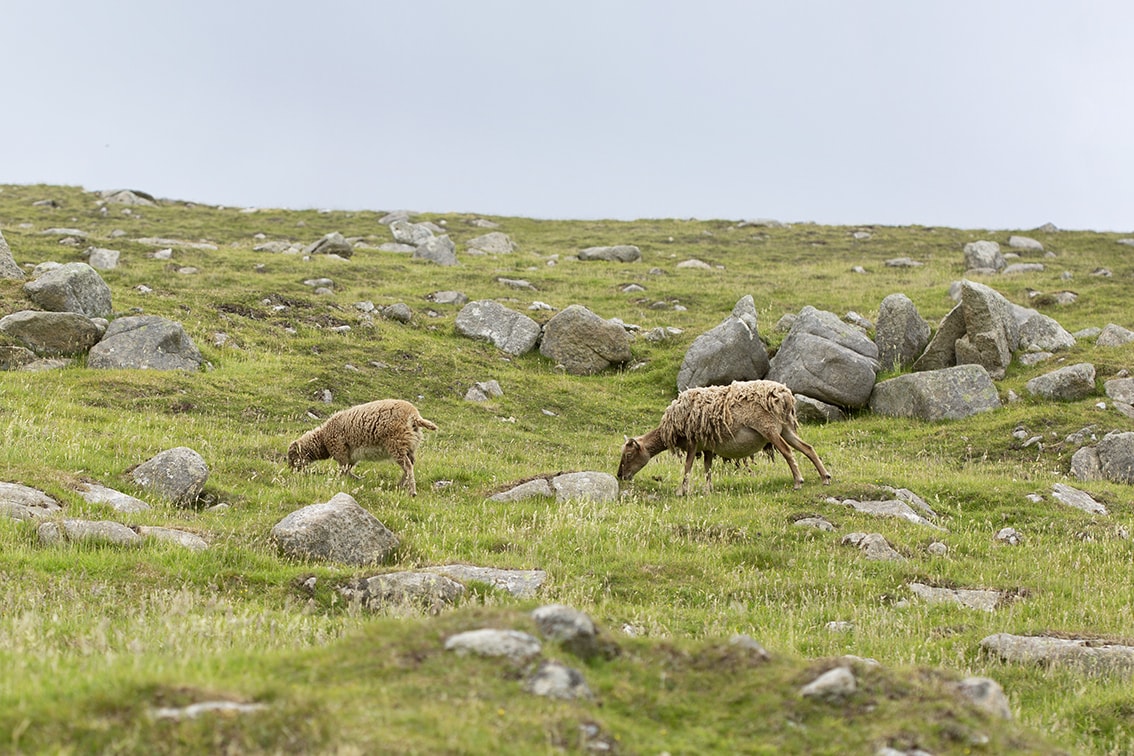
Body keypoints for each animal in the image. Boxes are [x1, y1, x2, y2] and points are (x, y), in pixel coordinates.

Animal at [285, 396, 435, 496]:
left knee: (408, 466)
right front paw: (358, 479)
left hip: (396, 444)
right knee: (410, 464)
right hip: (409, 447)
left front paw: (340, 480)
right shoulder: (351, 456)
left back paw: (412, 492)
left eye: (293, 456)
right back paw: (399, 486)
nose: (291, 470)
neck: (323, 439)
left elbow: (344, 469)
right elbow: (348, 469)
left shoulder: (340, 451)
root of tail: (414, 416)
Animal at [616, 378, 830, 496]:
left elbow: (687, 467)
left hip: (768, 427)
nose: (620, 476)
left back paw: (798, 481)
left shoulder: (693, 442)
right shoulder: (708, 447)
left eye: (629, 455)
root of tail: (784, 394)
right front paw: (707, 490)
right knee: (807, 447)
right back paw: (825, 477)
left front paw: (681, 491)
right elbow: (707, 469)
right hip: (784, 427)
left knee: (787, 451)